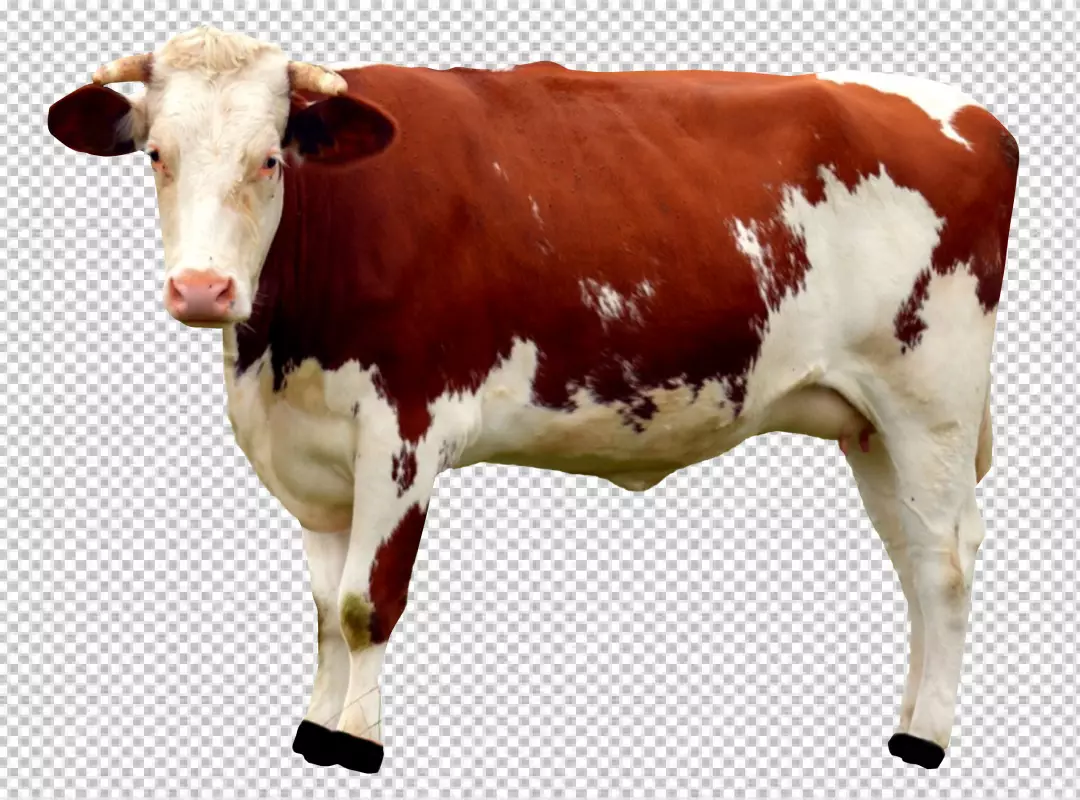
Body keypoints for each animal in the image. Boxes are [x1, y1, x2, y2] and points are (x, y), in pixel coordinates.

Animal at [48, 24, 1018, 774]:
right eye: (157, 155)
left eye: (269, 157)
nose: (202, 290)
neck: (281, 352)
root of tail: (969, 112)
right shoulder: (312, 450)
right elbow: (325, 610)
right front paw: (317, 728)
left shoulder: (405, 427)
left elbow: (366, 604)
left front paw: (358, 741)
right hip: (871, 426)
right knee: (912, 564)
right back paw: (906, 721)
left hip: (929, 401)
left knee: (944, 564)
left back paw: (926, 741)